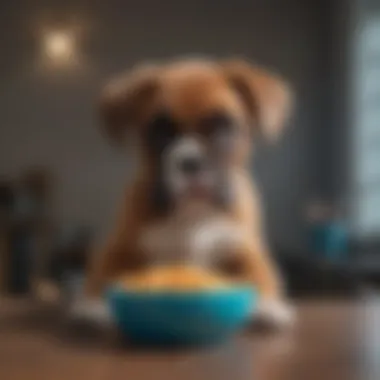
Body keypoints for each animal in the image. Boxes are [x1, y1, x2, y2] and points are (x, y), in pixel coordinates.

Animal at [73, 58, 294, 328]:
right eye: (160, 131)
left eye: (222, 126)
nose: (190, 162)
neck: (192, 213)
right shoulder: (121, 246)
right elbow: (103, 271)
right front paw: (94, 303)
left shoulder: (245, 250)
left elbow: (261, 274)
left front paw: (267, 304)